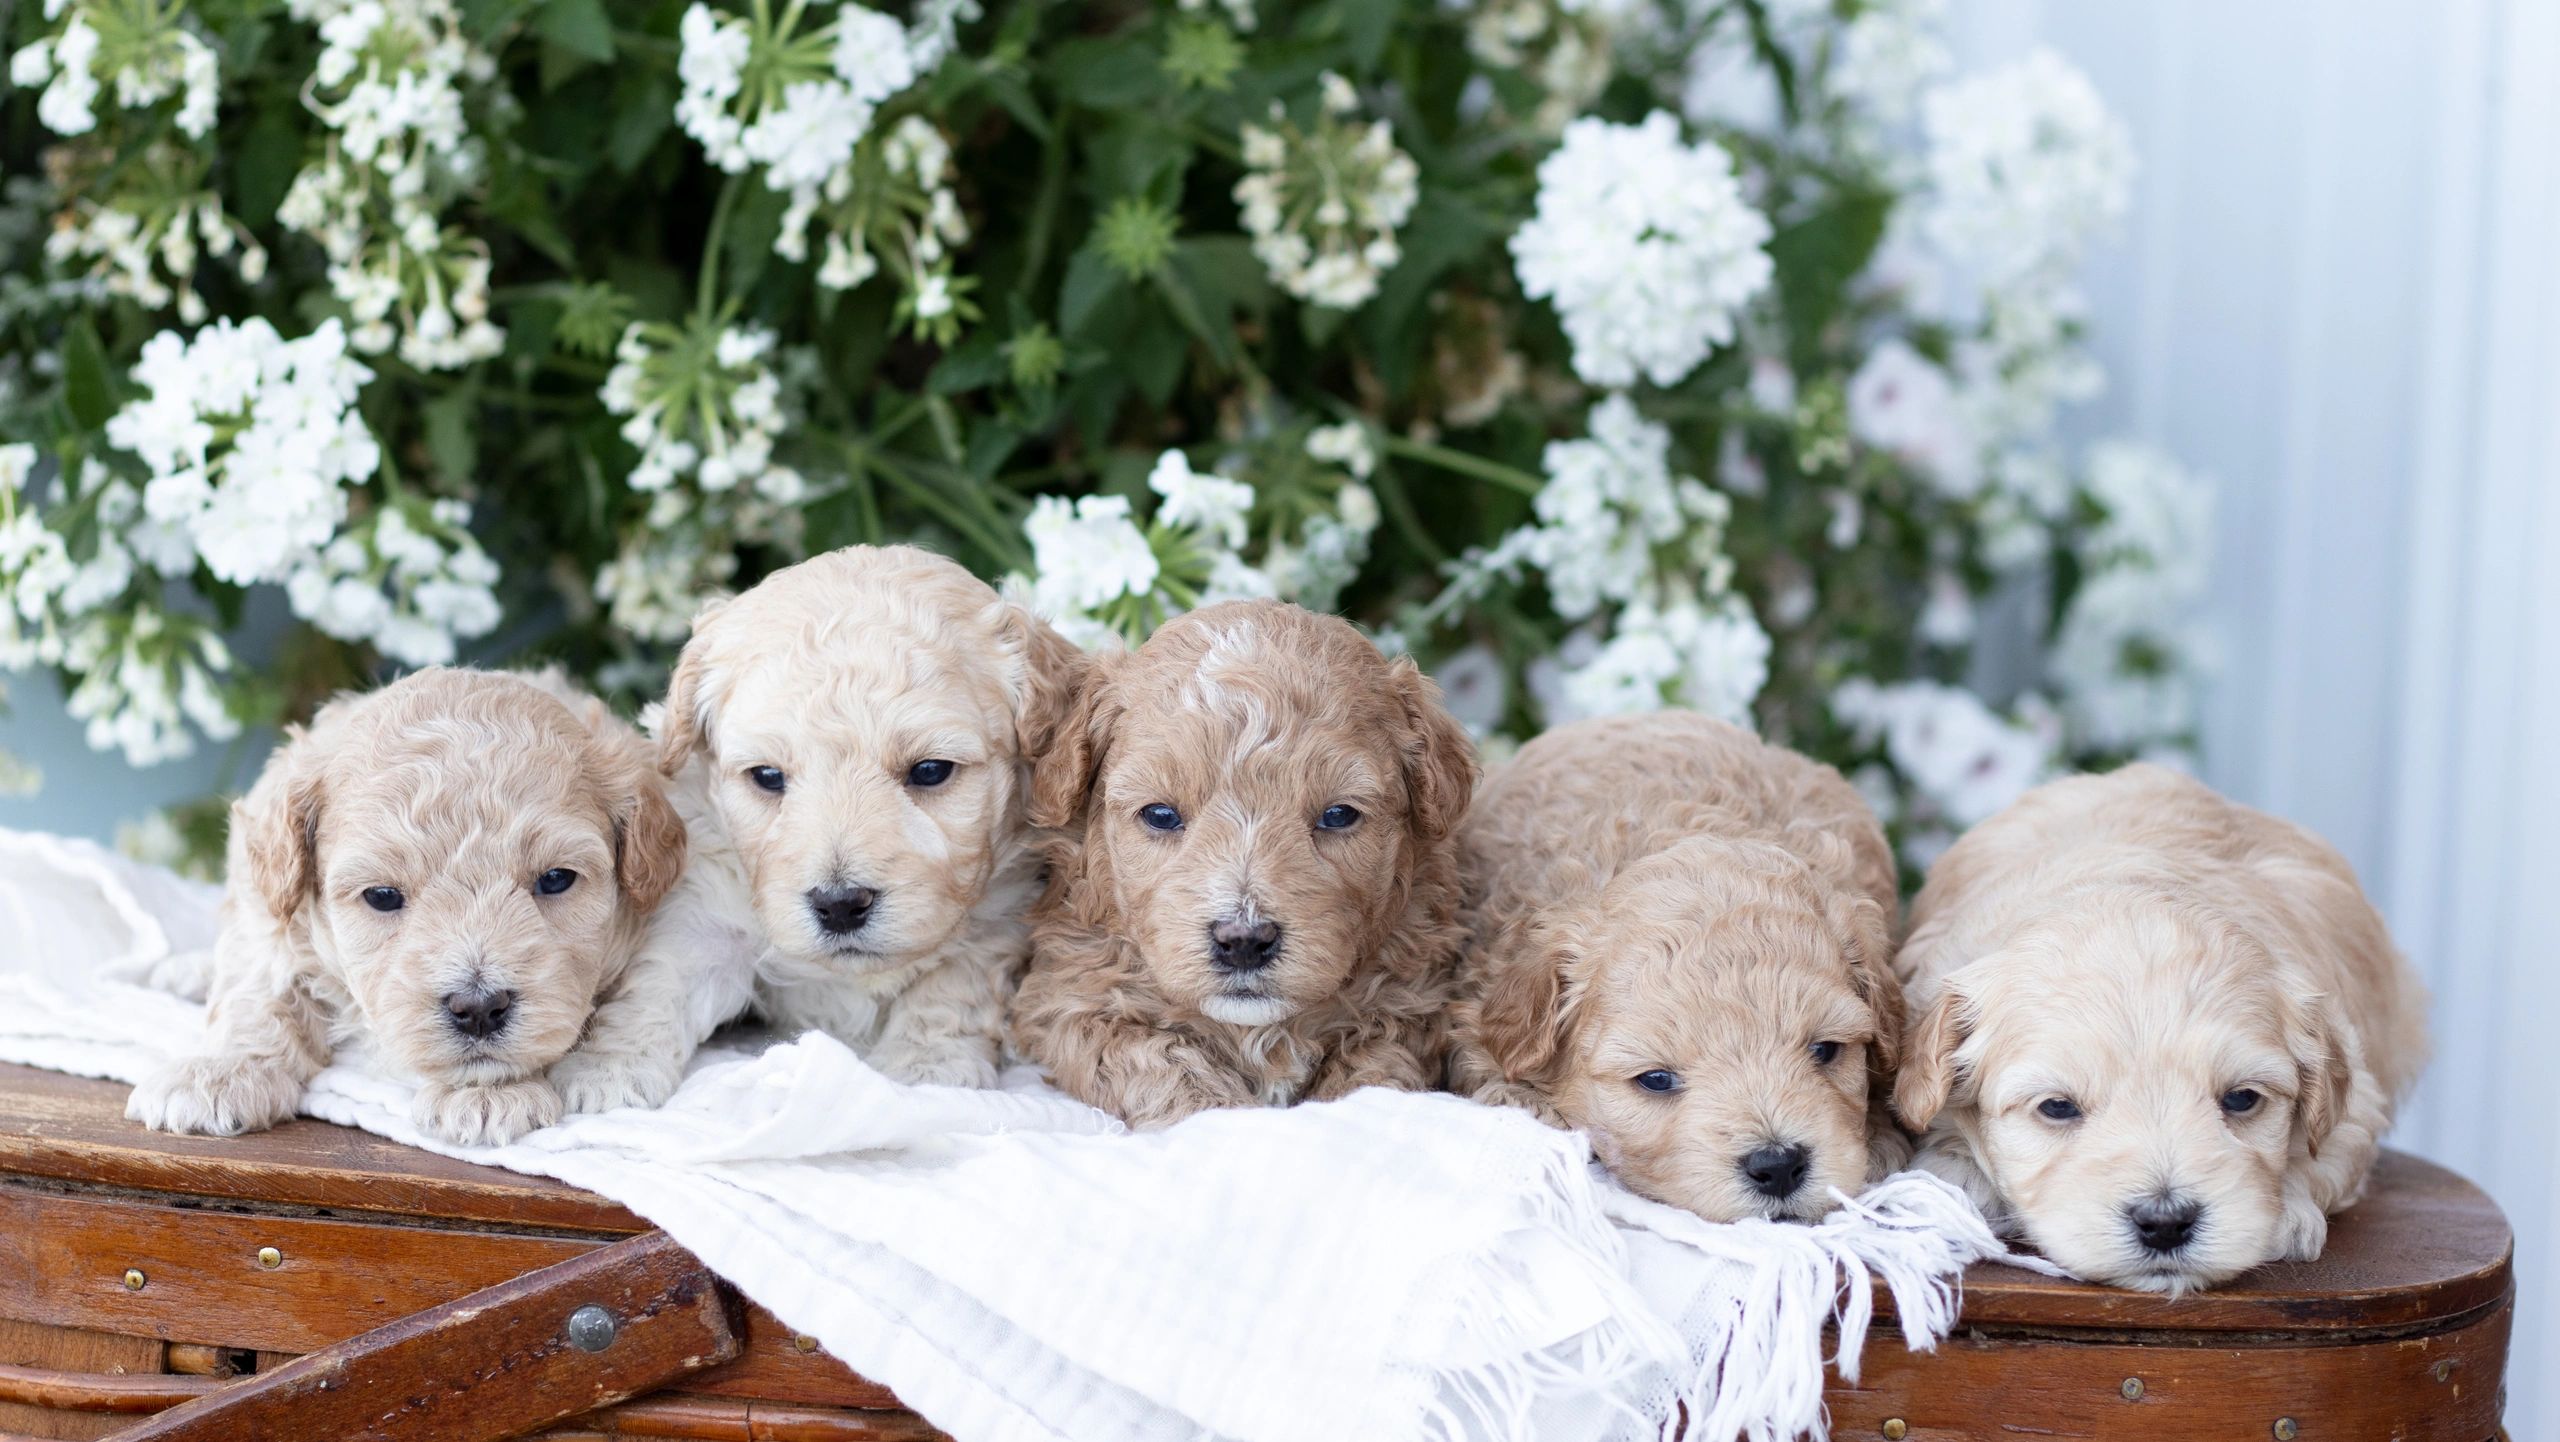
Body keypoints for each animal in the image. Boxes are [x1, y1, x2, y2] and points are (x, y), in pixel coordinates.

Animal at [126, 671, 691, 1152]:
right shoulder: (266, 906)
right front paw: (218, 1073)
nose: (478, 1008)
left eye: (555, 880)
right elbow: (256, 990)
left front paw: (487, 1095)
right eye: (381, 896)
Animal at [640, 548, 1090, 1091]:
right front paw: (608, 1071)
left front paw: (925, 1067)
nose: (839, 905)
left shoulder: (999, 922)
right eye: (767, 776)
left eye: (930, 771)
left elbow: (949, 991)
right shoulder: (708, 913)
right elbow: (661, 982)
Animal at [1003, 599, 1474, 1126]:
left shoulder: (1408, 1005)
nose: (1244, 941)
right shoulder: (1072, 1001)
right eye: (1160, 815)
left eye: (1338, 815)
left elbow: (1369, 1076)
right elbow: (1160, 1062)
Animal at [1894, 768, 2426, 1296]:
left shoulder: (2358, 1100)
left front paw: (2288, 1214)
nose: (2165, 1222)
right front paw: (1958, 1177)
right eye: (2057, 1107)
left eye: (2242, 1099)